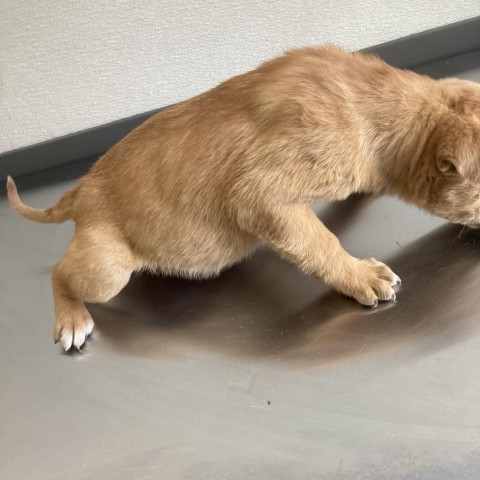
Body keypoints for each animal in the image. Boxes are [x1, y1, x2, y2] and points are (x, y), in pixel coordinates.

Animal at [5, 47, 480, 350]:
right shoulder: (260, 195)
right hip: (109, 269)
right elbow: (321, 243)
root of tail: (79, 190)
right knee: (61, 274)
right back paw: (71, 319)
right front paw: (361, 276)